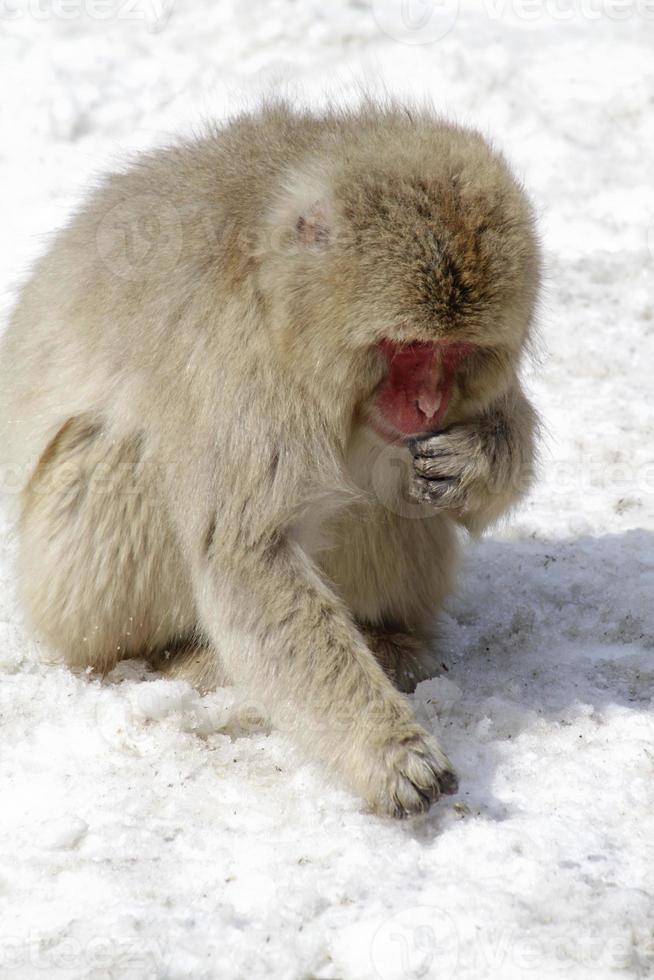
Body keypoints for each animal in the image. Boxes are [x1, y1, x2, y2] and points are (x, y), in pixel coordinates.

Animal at [0, 101, 540, 820]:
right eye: (405, 346)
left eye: (454, 351)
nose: (426, 404)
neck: (283, 305)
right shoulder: (235, 362)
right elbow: (246, 553)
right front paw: (390, 753)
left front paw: (475, 458)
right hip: (59, 599)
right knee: (118, 454)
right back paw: (168, 657)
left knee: (378, 489)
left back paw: (390, 638)